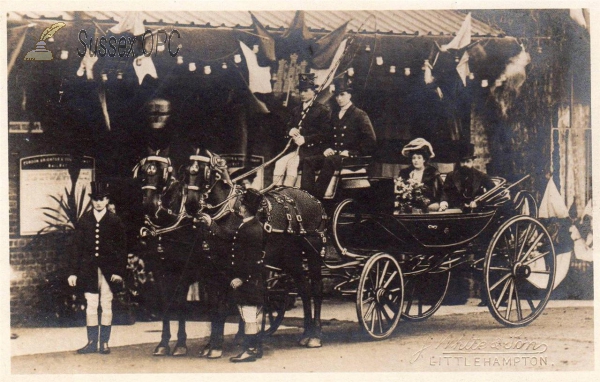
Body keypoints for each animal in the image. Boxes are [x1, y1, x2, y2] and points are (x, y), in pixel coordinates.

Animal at [185, 151, 330, 348]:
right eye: (186, 170)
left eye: (206, 172)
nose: (191, 205)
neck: (228, 214)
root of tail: (314, 199)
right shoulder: (212, 265)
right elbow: (218, 303)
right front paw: (219, 342)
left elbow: (227, 302)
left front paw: (219, 344)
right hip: (290, 256)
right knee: (304, 288)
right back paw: (306, 333)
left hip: (313, 251)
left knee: (316, 289)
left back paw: (315, 334)